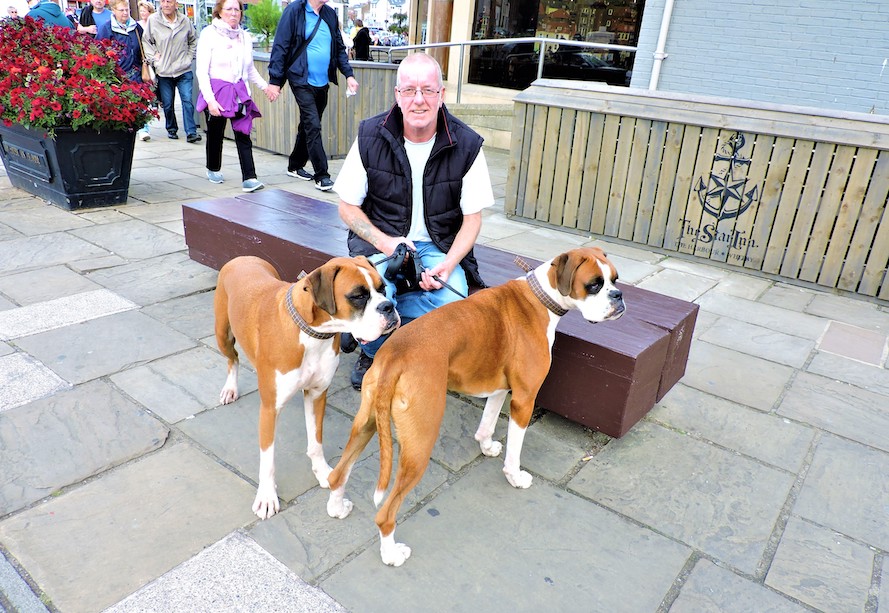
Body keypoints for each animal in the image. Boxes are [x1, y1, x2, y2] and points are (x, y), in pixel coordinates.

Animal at [213, 253, 398, 516]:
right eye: (358, 296)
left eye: (383, 288)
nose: (388, 306)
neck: (312, 333)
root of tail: (243, 257)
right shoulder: (269, 409)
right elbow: (267, 459)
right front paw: (267, 496)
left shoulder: (317, 395)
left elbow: (316, 441)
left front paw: (322, 472)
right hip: (223, 335)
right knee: (233, 358)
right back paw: (230, 388)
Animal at [326, 246, 624, 568]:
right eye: (594, 284)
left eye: (615, 279)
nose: (618, 296)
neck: (541, 297)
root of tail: (395, 354)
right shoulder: (524, 400)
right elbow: (515, 448)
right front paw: (514, 476)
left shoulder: (500, 389)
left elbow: (487, 422)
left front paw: (486, 446)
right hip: (419, 444)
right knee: (385, 512)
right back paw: (391, 553)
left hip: (366, 424)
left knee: (337, 474)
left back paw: (337, 507)